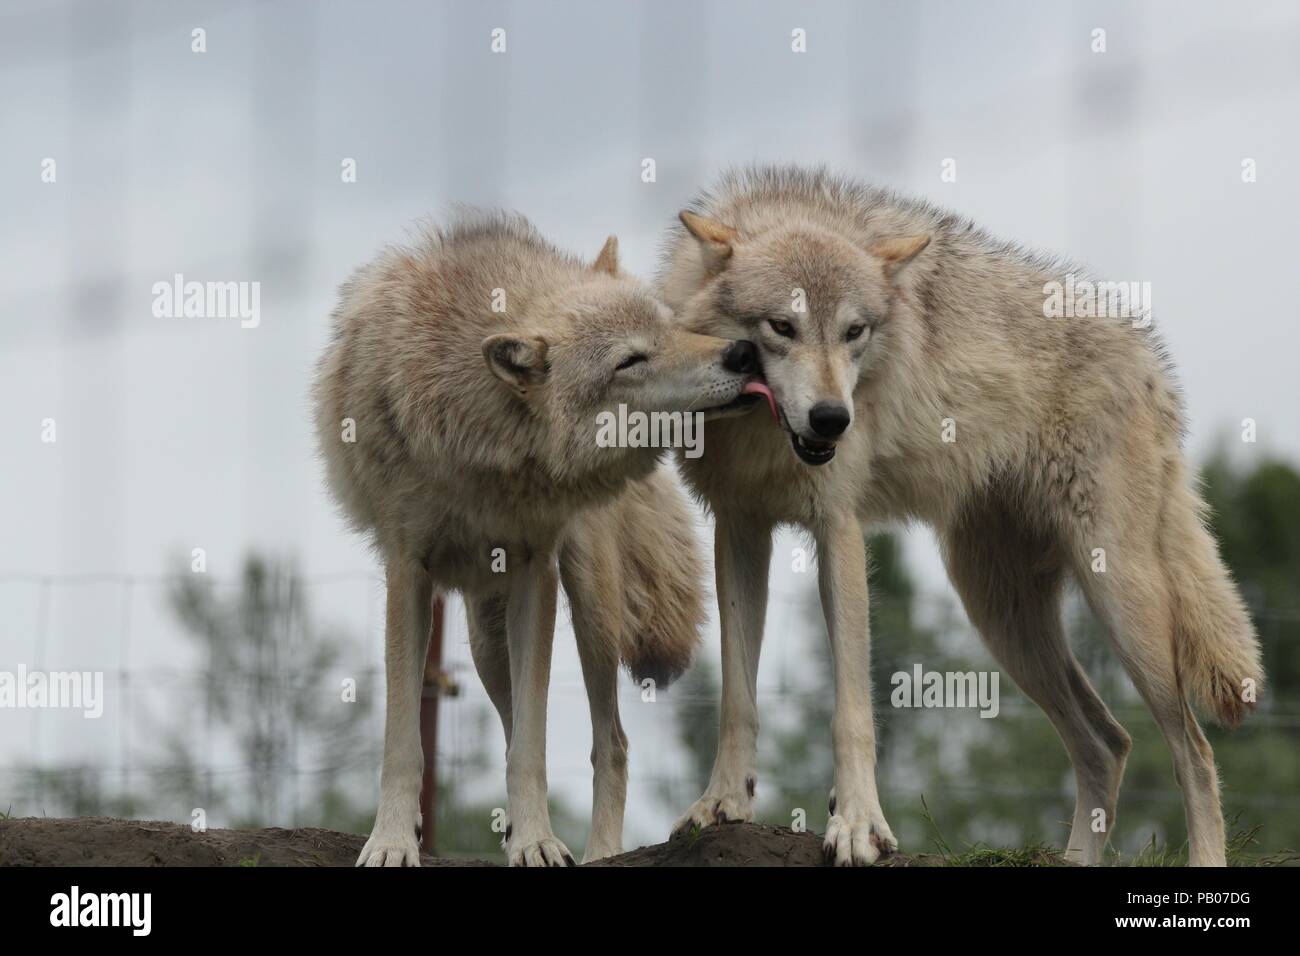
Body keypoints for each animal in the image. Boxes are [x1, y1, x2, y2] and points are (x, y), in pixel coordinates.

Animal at [313, 210, 759, 868]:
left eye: (671, 326)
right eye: (630, 360)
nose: (743, 352)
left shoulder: (535, 571)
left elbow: (533, 743)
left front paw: (538, 842)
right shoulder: (407, 572)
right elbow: (404, 741)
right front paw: (393, 841)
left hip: (592, 610)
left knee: (612, 742)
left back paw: (600, 852)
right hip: (483, 639)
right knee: (514, 722)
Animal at [655, 164, 1263, 868]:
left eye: (855, 332)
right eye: (782, 326)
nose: (833, 419)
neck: (764, 437)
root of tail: (1156, 369)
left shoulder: (838, 529)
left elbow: (851, 709)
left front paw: (858, 825)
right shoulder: (740, 529)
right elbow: (736, 695)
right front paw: (721, 804)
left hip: (1118, 603)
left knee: (1193, 748)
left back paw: (1206, 860)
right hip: (1003, 618)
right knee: (1108, 743)